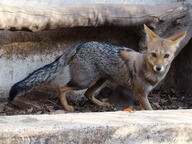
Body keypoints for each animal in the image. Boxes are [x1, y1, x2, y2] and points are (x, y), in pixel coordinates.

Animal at [8, 24, 186, 111]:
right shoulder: (140, 93)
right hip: (84, 81)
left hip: (100, 80)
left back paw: (101, 105)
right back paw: (67, 107)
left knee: (87, 94)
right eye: (153, 55)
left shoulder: (142, 94)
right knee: (61, 87)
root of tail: (79, 44)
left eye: (166, 56)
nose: (159, 68)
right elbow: (149, 110)